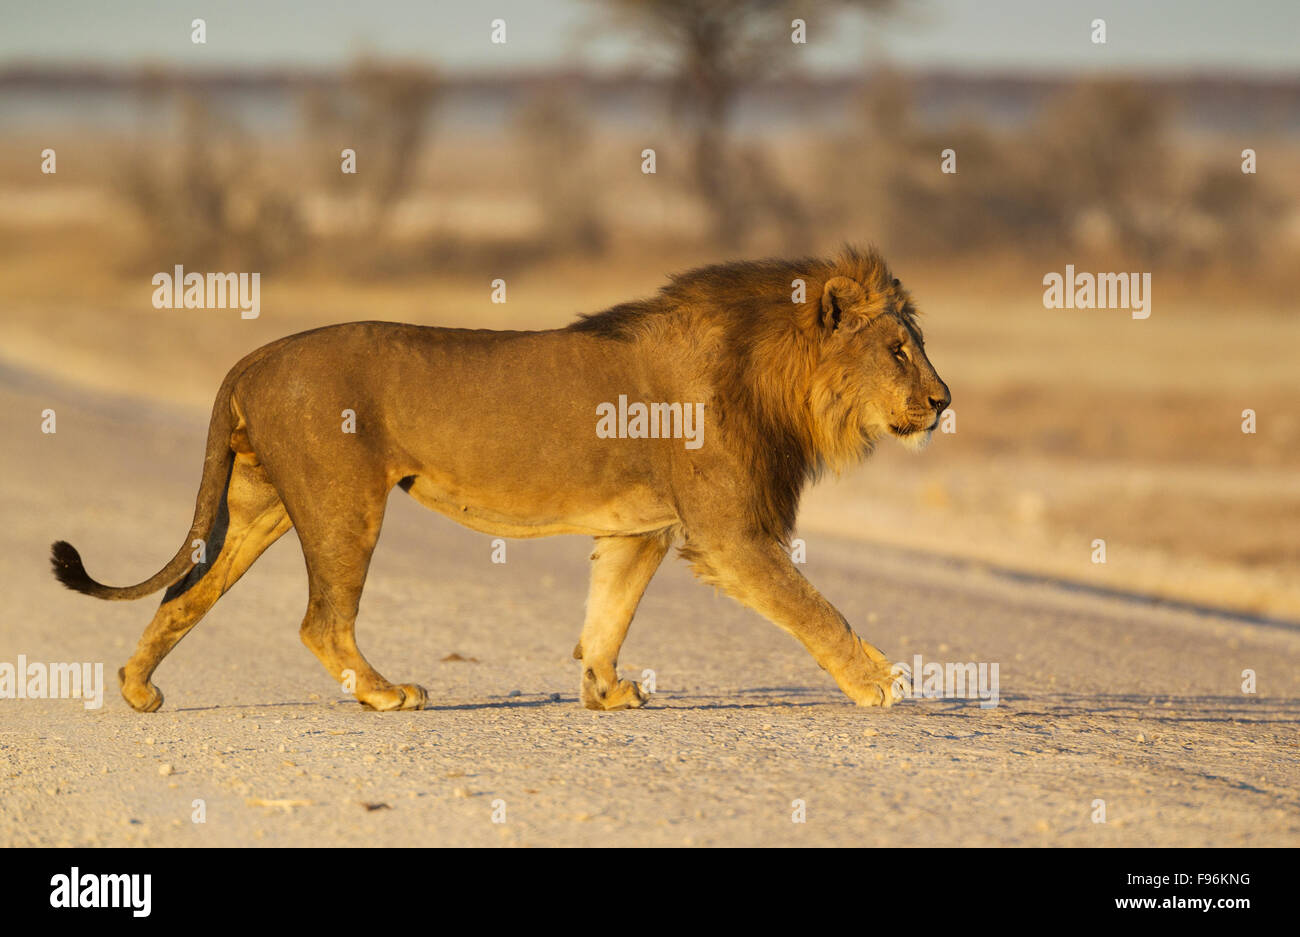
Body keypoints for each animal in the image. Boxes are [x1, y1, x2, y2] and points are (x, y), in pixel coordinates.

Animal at [50, 244, 951, 712]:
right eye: (898, 350)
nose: (945, 402)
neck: (770, 374)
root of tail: (249, 358)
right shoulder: (730, 535)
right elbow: (817, 610)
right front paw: (883, 683)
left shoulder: (638, 528)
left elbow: (608, 614)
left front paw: (604, 691)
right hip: (344, 502)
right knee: (319, 620)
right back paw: (387, 695)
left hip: (257, 505)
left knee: (185, 595)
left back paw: (136, 688)